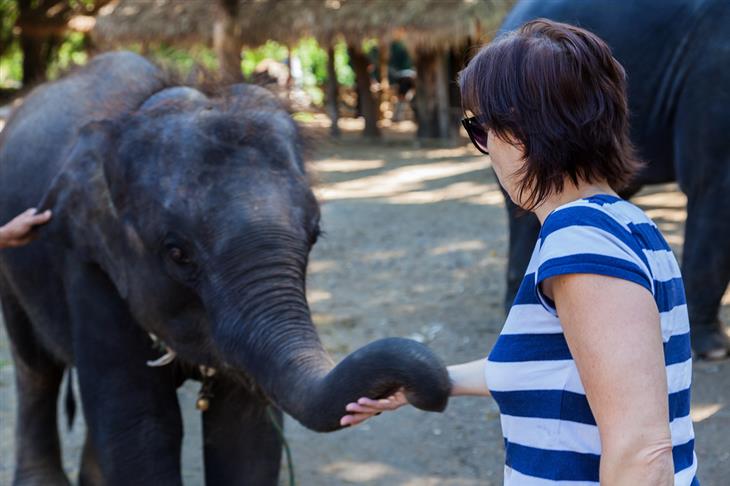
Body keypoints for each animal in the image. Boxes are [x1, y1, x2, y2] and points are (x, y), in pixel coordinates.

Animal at [0, 51, 450, 484]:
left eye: (315, 235)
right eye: (177, 253)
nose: (410, 391)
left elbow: (246, 436)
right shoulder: (88, 263)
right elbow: (138, 424)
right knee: (35, 367)